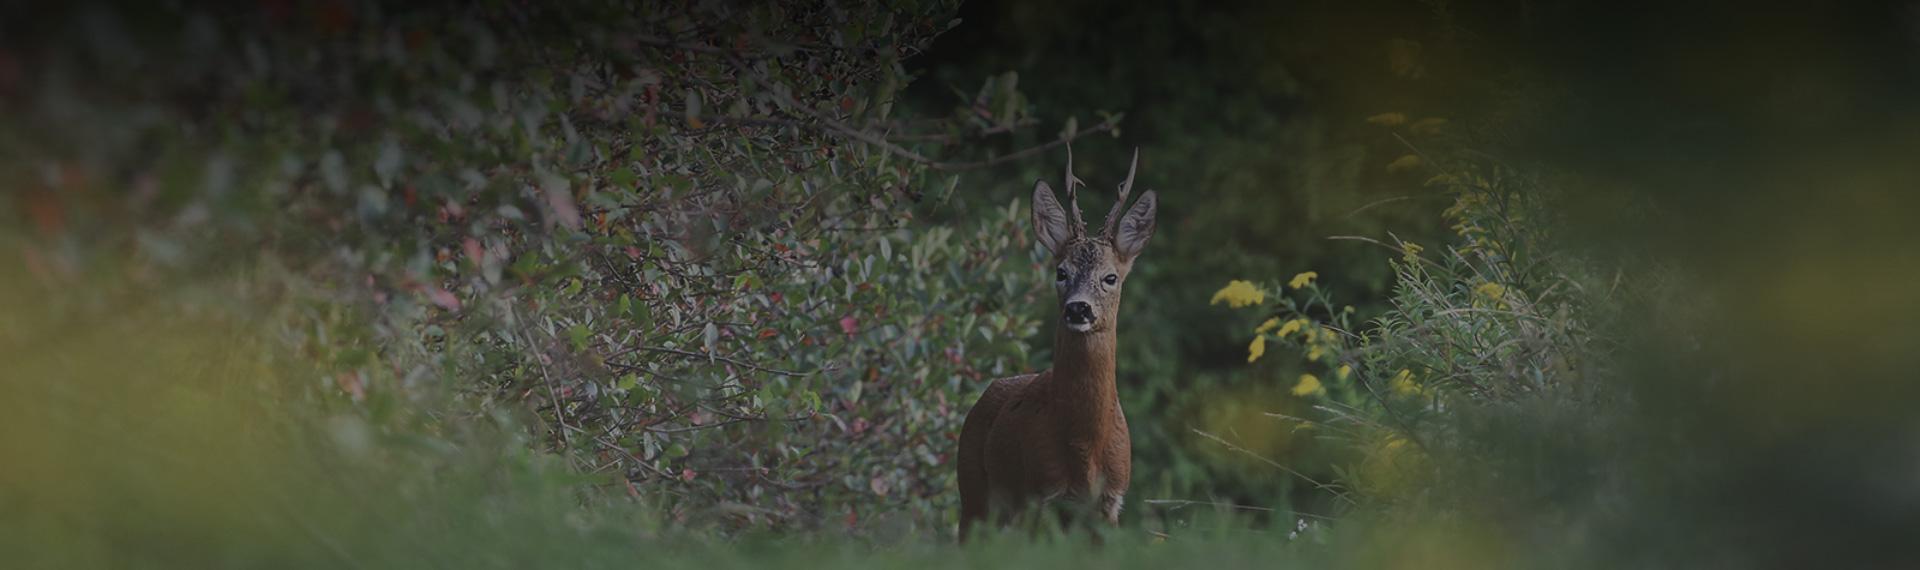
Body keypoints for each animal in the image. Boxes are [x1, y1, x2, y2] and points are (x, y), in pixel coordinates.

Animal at [956, 148, 1152, 537]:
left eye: (1110, 277)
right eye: (1061, 272)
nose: (1078, 308)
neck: (1085, 448)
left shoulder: (1111, 500)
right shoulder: (1040, 493)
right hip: (973, 491)